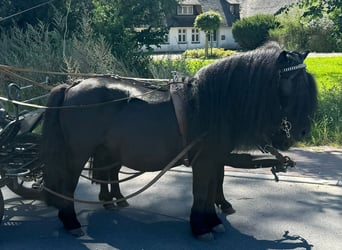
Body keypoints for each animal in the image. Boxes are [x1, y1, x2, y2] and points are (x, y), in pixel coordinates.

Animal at [41, 42, 316, 239]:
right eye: (295, 85)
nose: (303, 131)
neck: (210, 104)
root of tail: (72, 85)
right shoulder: (204, 160)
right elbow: (201, 192)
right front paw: (201, 227)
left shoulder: (214, 158)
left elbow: (212, 188)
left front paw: (213, 220)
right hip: (77, 153)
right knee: (68, 184)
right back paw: (71, 222)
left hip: (105, 149)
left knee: (107, 172)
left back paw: (110, 202)